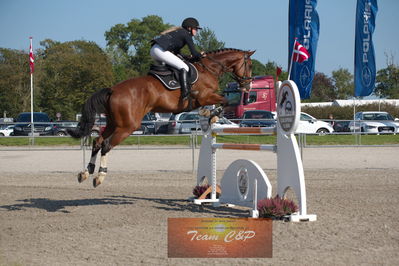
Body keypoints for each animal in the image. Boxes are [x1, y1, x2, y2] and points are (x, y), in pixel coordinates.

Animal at [69, 48, 256, 187]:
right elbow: (224, 101)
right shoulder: (205, 96)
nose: (247, 86)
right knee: (106, 145)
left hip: (113, 123)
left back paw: (85, 172)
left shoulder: (203, 99)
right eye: (250, 65)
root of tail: (113, 90)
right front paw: (212, 115)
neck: (209, 68)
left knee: (97, 141)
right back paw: (99, 176)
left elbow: (218, 103)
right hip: (127, 126)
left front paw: (208, 115)